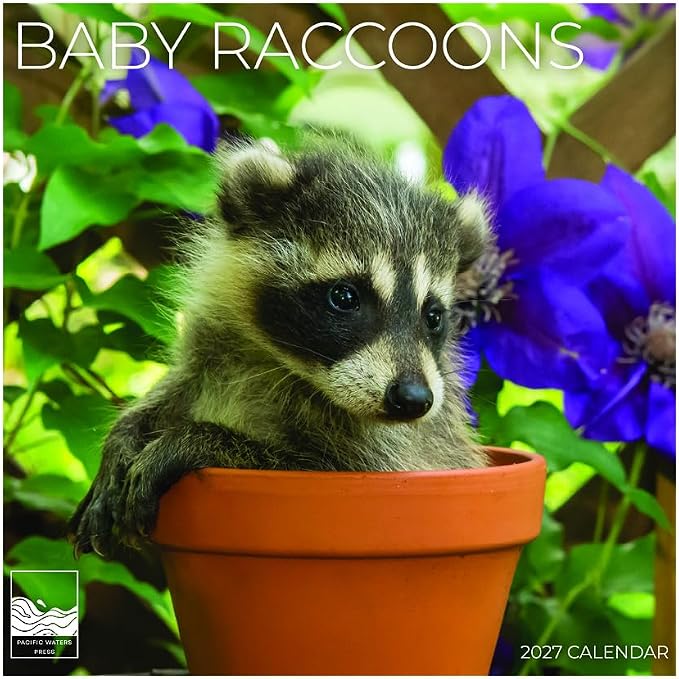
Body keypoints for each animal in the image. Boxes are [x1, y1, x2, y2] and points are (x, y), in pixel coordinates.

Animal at [69, 134, 492, 557]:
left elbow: (306, 464)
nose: (413, 399)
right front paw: (123, 434)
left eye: (433, 316)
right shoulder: (212, 350)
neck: (277, 360)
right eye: (345, 297)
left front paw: (197, 440)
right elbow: (176, 390)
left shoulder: (395, 454)